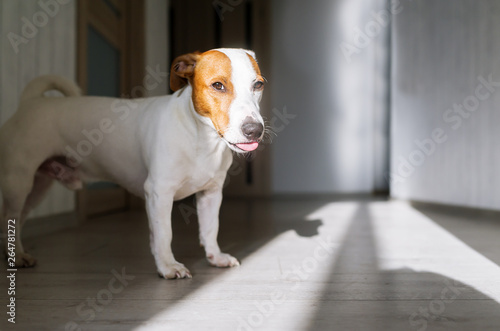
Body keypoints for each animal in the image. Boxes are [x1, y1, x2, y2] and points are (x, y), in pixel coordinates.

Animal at [0, 48, 268, 278]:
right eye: (217, 85)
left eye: (258, 84)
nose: (254, 130)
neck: (200, 138)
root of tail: (31, 102)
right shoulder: (159, 193)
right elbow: (164, 234)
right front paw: (168, 266)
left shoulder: (211, 194)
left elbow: (211, 229)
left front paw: (215, 257)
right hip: (19, 182)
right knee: (10, 217)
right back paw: (17, 256)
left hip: (37, 188)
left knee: (19, 219)